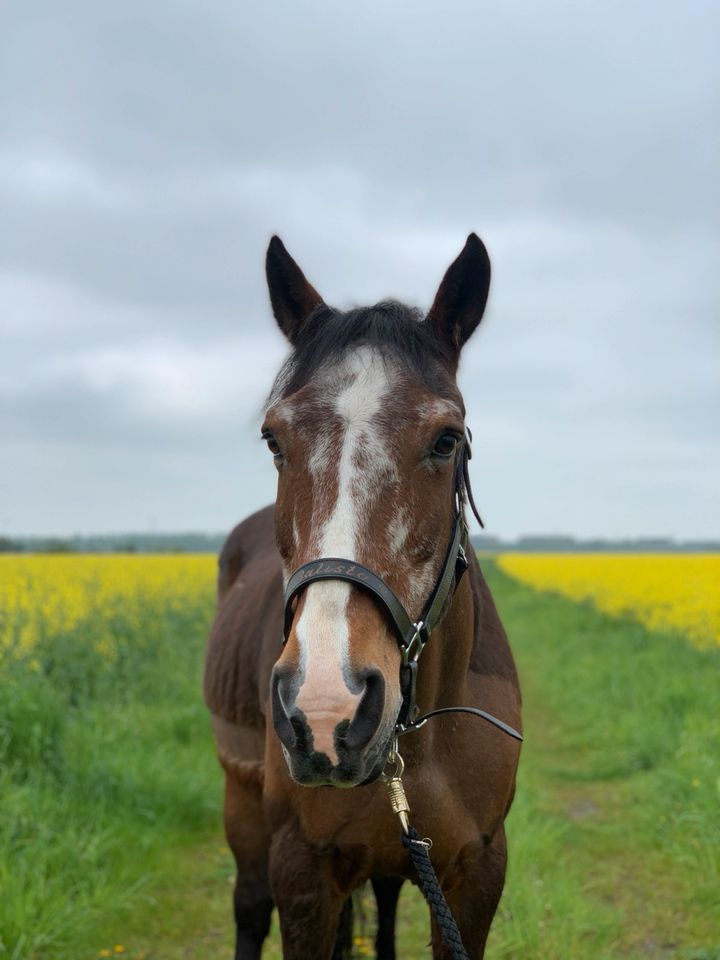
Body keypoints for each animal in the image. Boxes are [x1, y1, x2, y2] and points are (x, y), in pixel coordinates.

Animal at [202, 234, 524, 960]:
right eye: (274, 439)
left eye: (446, 439)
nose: (326, 710)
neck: (422, 745)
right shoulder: (301, 869)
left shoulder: (476, 871)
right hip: (241, 798)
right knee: (247, 906)